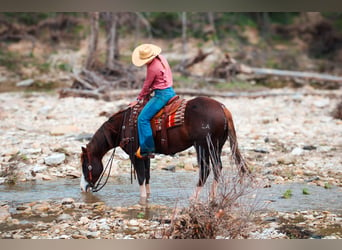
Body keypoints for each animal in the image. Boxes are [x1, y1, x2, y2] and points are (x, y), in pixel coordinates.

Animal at [80, 95, 251, 201]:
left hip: (203, 146)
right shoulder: (145, 155)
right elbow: (147, 176)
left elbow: (141, 177)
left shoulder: (134, 155)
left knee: (206, 169)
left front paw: (142, 200)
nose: (83, 188)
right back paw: (212, 196)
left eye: (86, 166)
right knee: (217, 168)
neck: (122, 126)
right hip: (216, 147)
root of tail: (222, 107)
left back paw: (195, 197)